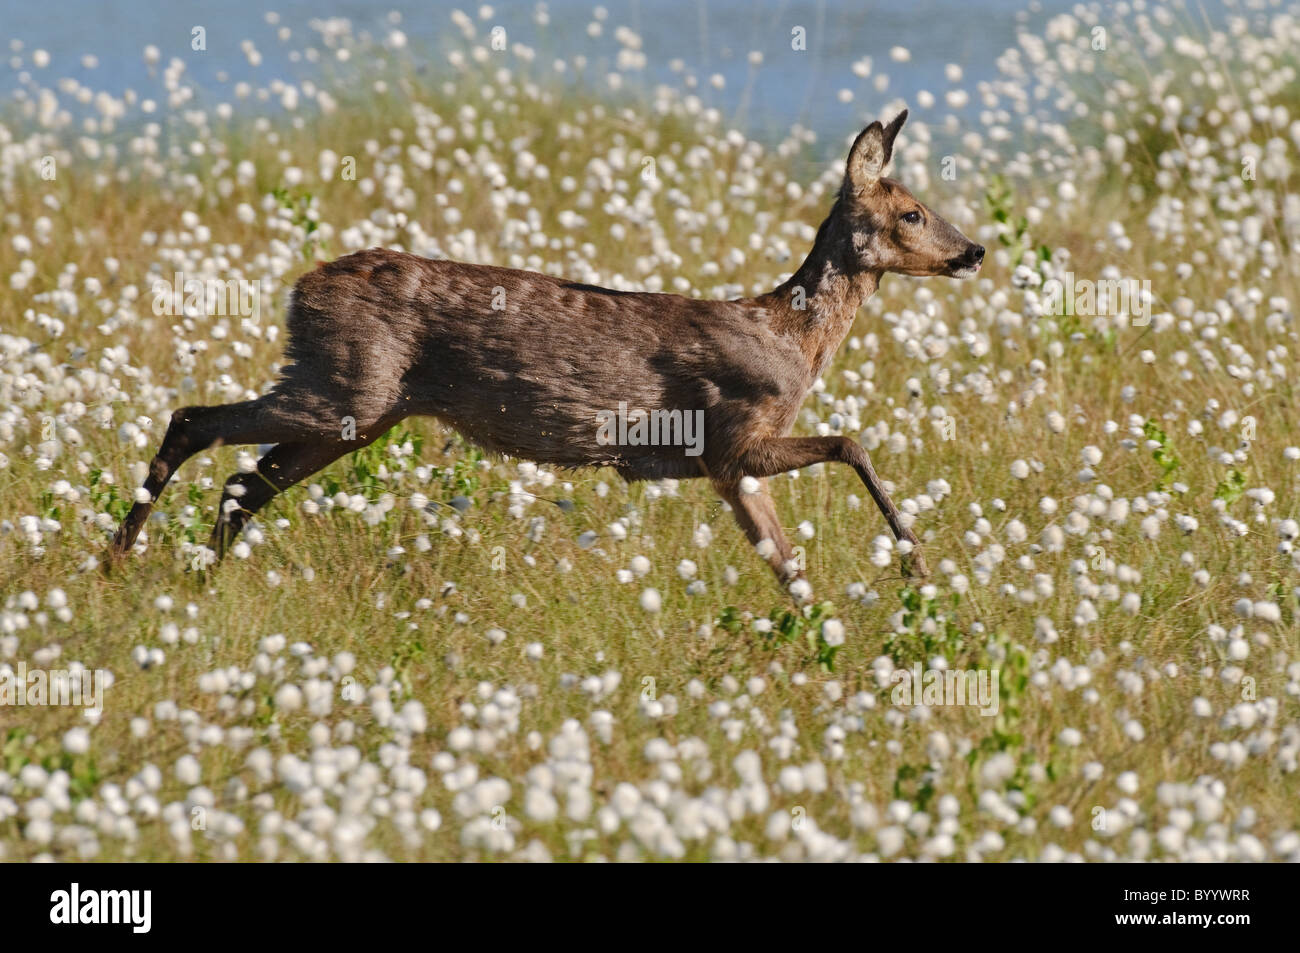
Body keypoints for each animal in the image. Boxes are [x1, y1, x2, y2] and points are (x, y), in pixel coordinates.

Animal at [111, 111, 977, 598]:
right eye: (911, 211)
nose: (972, 250)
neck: (791, 338)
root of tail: (302, 286)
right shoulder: (733, 436)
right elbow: (851, 443)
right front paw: (914, 565)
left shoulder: (727, 468)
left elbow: (786, 562)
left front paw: (824, 623)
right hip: (348, 387)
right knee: (194, 419)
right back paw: (118, 556)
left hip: (361, 406)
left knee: (244, 479)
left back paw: (192, 573)